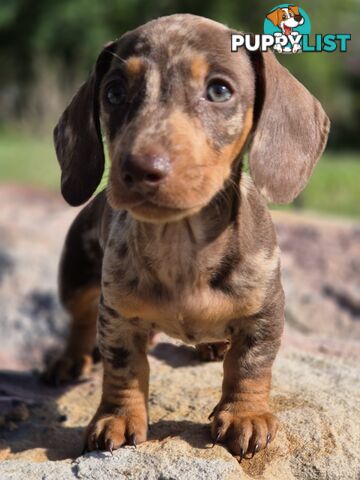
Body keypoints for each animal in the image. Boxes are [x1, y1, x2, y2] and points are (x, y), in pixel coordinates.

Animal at [43, 13, 330, 460]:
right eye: (114, 92)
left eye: (219, 90)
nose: (138, 168)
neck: (182, 245)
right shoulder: (117, 314)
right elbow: (124, 367)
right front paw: (118, 418)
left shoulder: (266, 312)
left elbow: (250, 364)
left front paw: (245, 415)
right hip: (76, 275)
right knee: (79, 319)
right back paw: (71, 359)